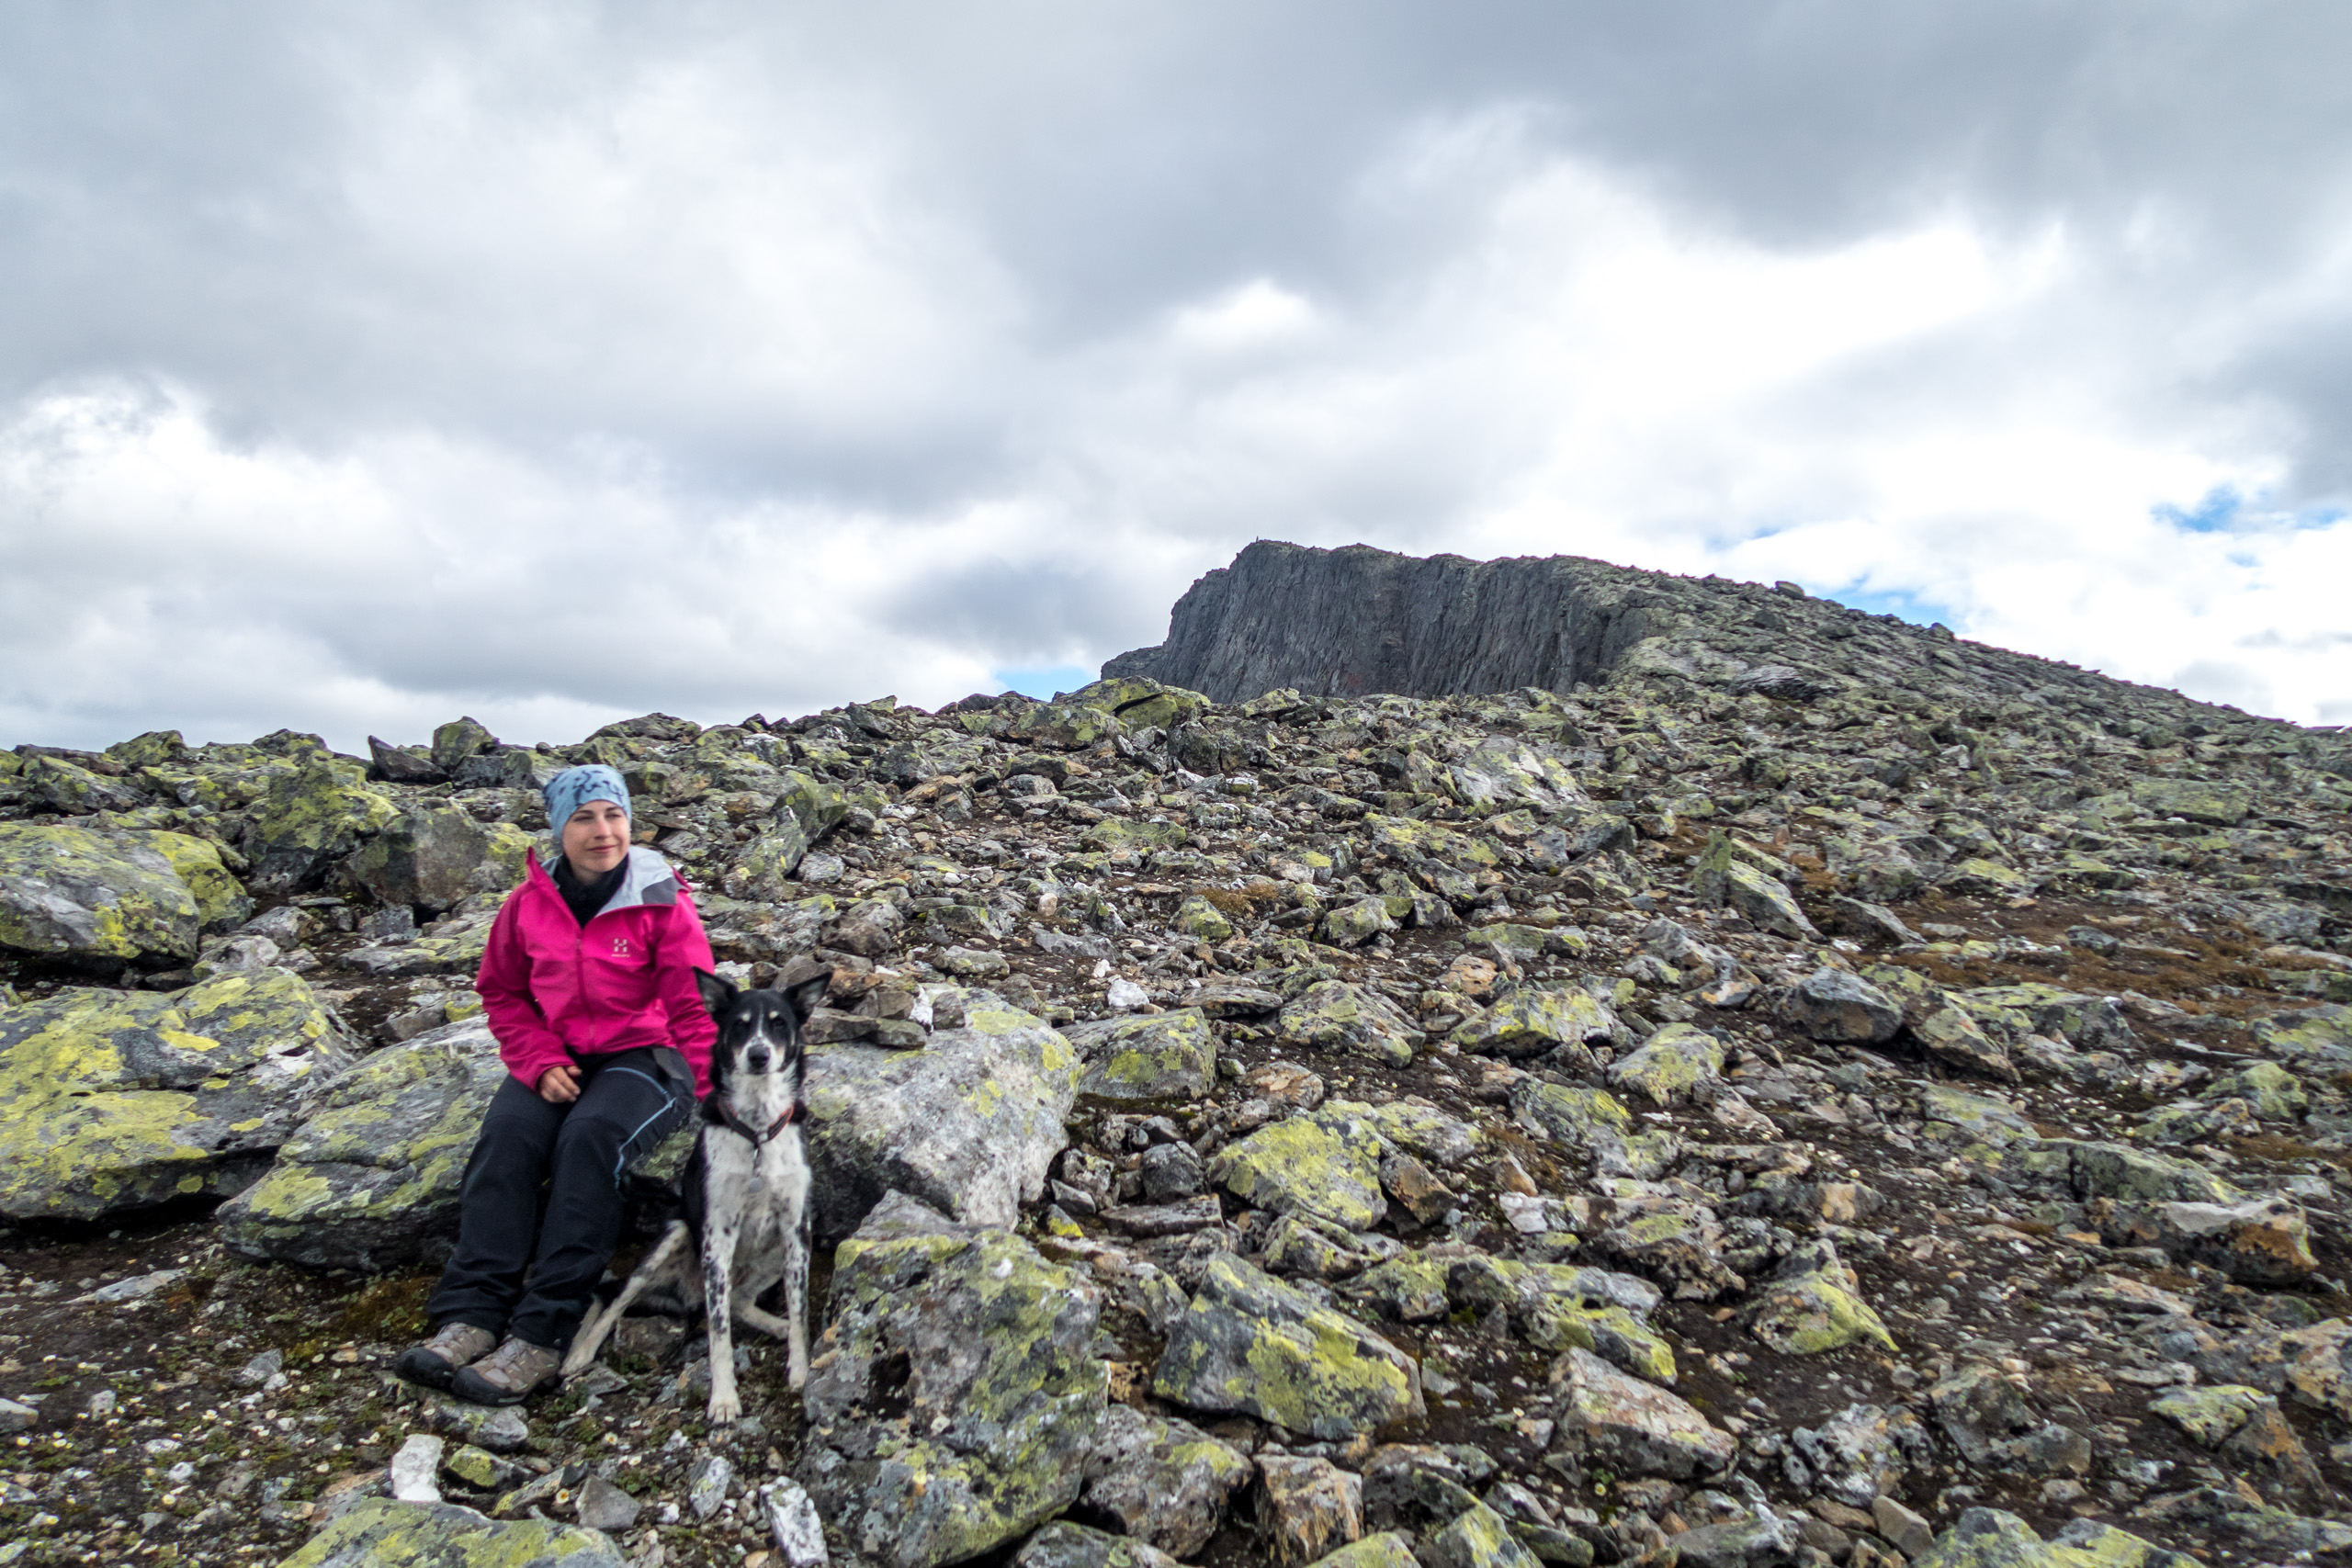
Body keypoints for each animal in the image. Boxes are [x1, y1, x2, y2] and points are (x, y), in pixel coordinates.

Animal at [560, 968, 828, 1419]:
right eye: (739, 1025)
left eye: (779, 1024)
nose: (759, 1056)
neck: (757, 1131)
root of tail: (682, 1293)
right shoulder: (716, 1236)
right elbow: (718, 1331)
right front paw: (723, 1399)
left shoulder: (796, 1228)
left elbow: (798, 1308)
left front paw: (800, 1367)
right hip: (675, 1235)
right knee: (615, 1297)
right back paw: (580, 1352)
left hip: (779, 1250)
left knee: (740, 1302)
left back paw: (778, 1325)